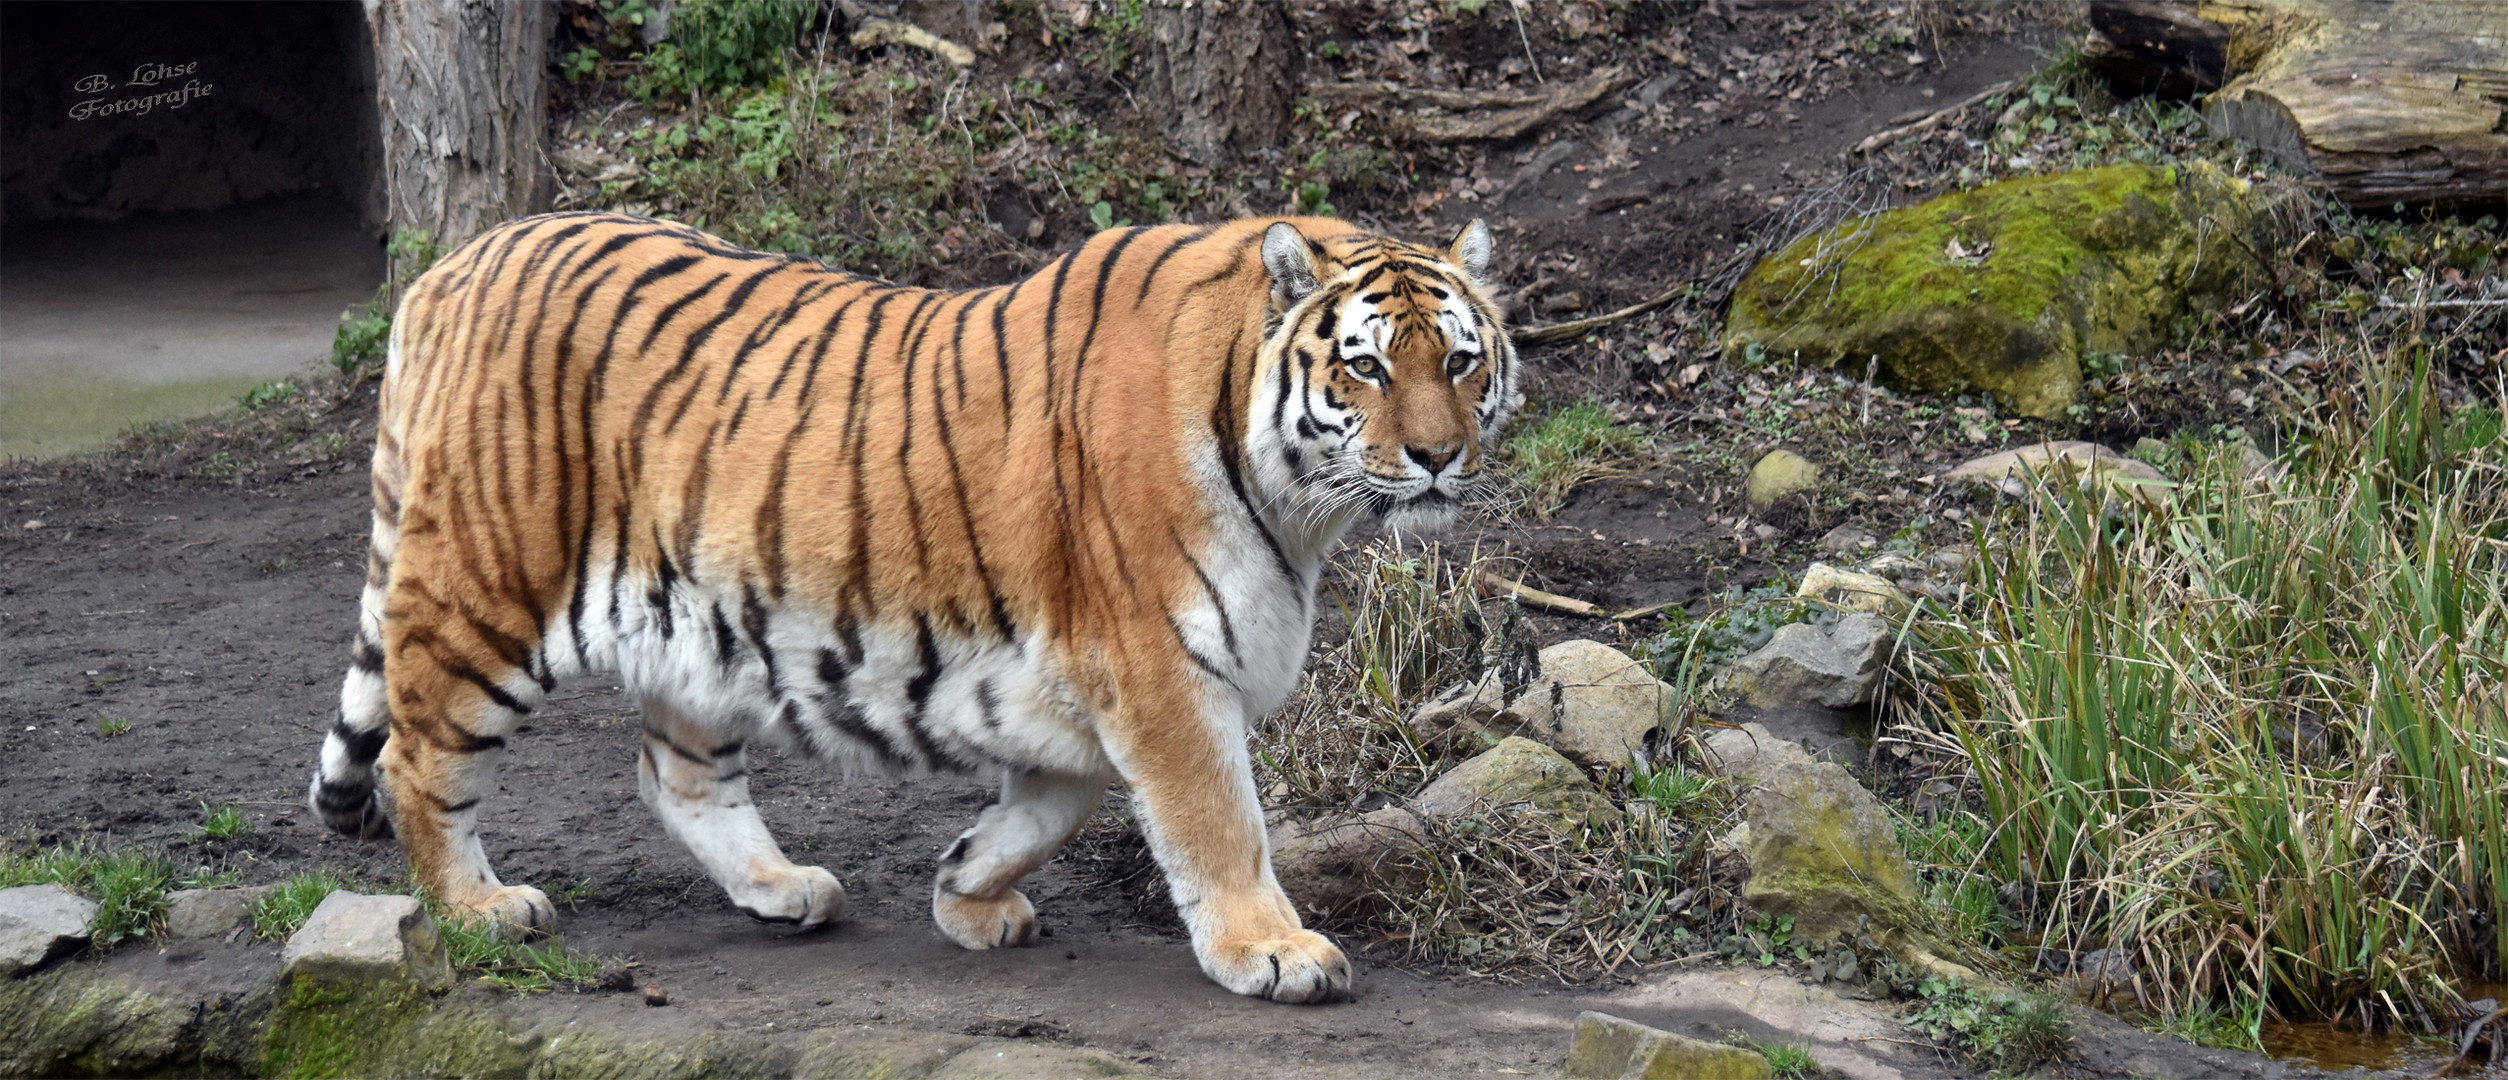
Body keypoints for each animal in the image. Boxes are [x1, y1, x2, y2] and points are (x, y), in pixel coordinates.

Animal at [303, 211, 1514, 1007]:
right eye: (1364, 367)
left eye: (1460, 360)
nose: (1438, 457)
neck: (1297, 506)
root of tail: (450, 269)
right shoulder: (1158, 665)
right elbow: (1220, 823)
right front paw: (1273, 951)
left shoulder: (1084, 676)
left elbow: (1057, 804)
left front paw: (964, 889)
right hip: (488, 589)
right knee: (418, 758)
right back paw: (480, 911)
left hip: (697, 623)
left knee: (673, 772)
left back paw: (780, 888)